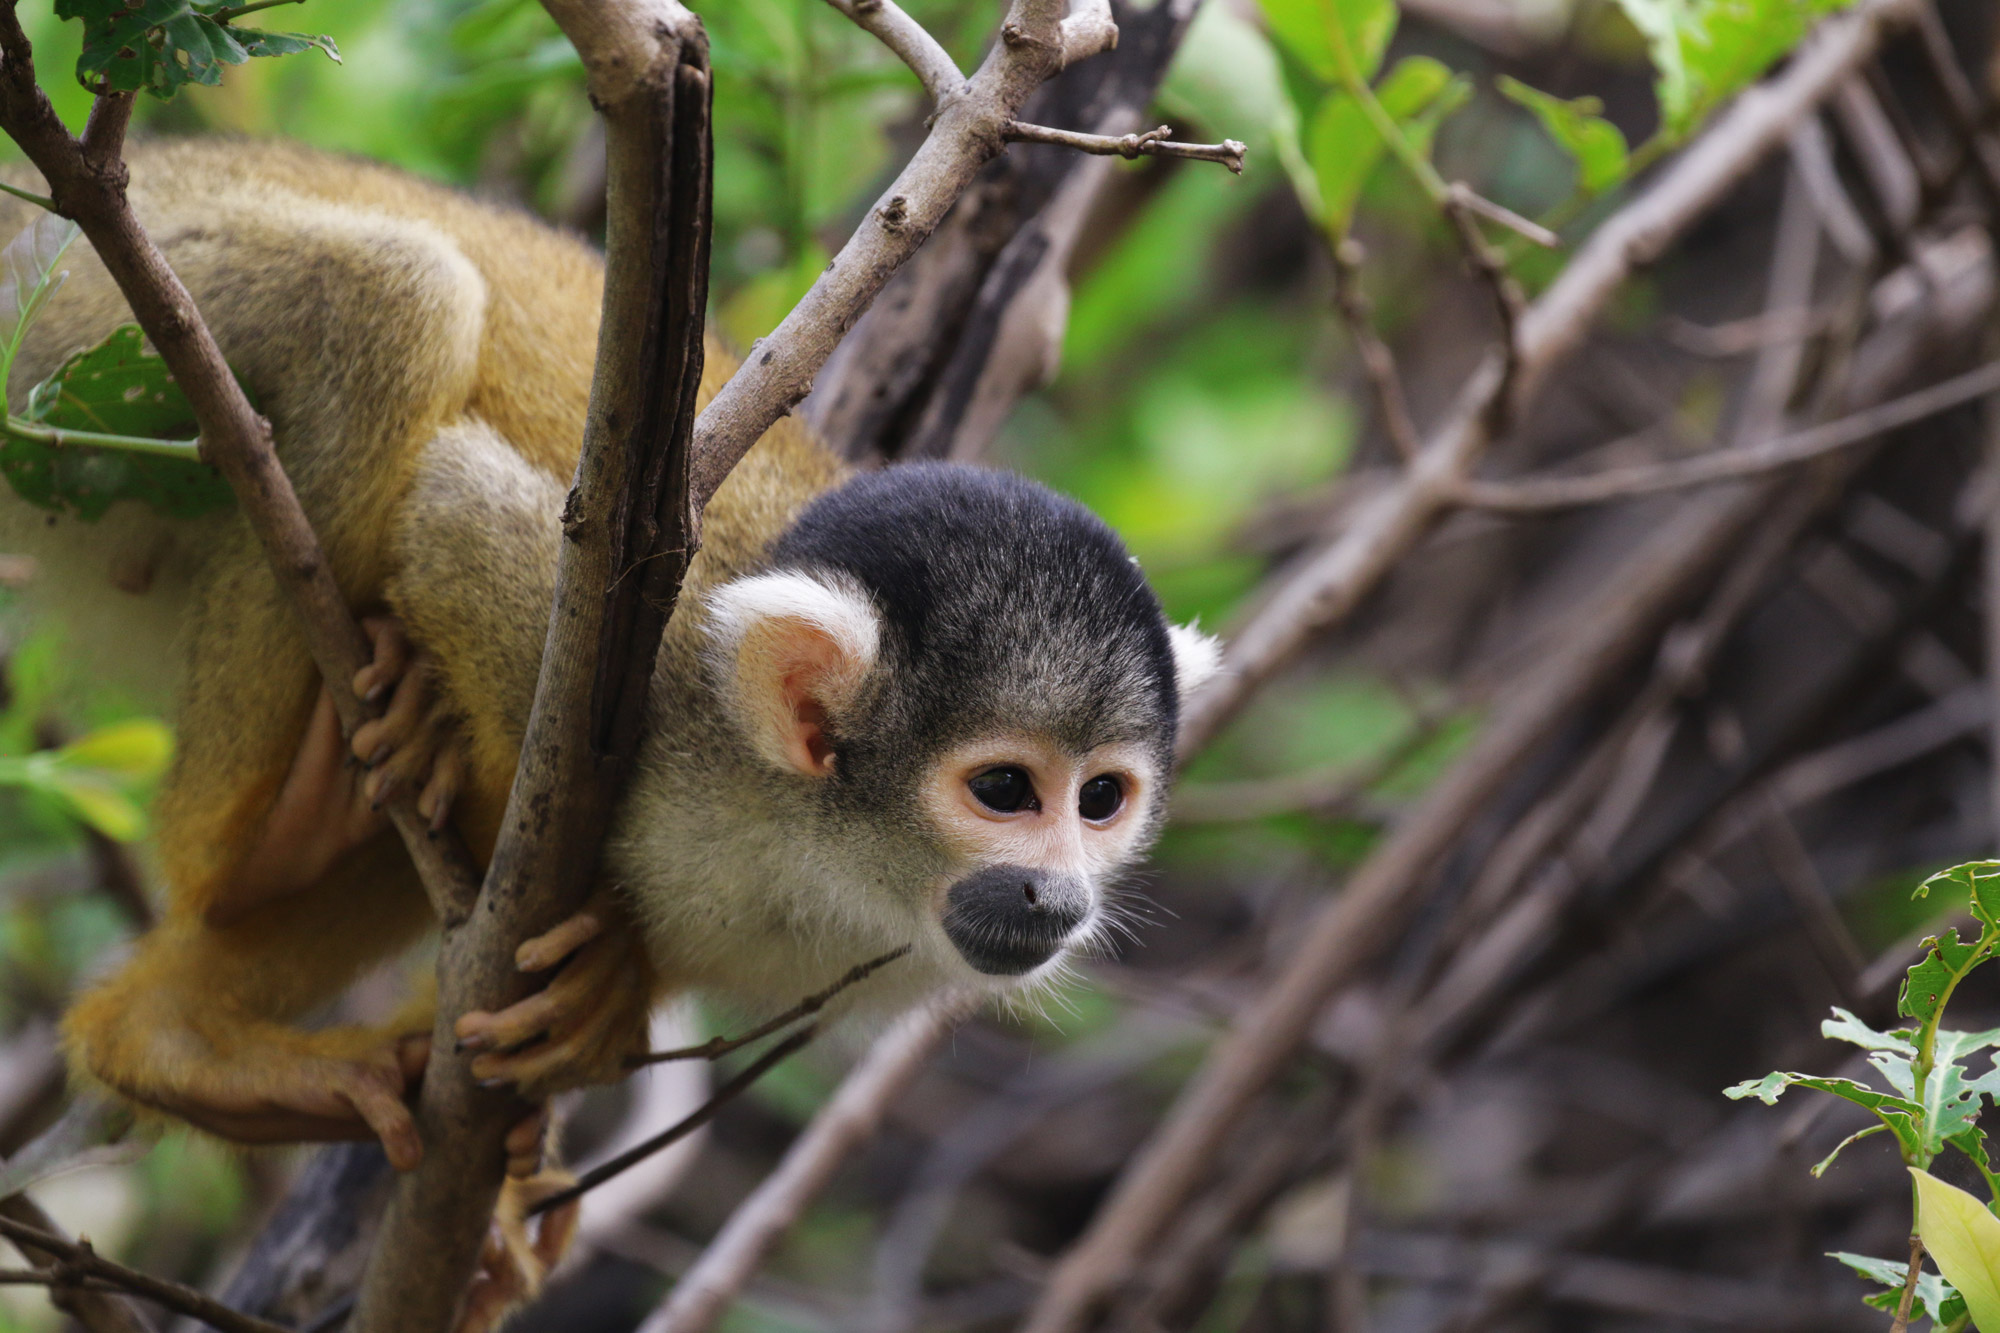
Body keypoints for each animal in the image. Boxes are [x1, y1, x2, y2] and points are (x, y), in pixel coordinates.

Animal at [0, 140, 1216, 1176]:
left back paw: (173, 1041)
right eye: (1005, 789)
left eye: (1100, 799)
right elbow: (452, 511)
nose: (1057, 892)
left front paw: (602, 997)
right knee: (395, 296)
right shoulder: (652, 662)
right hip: (83, 336)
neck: (813, 847)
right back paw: (257, 839)